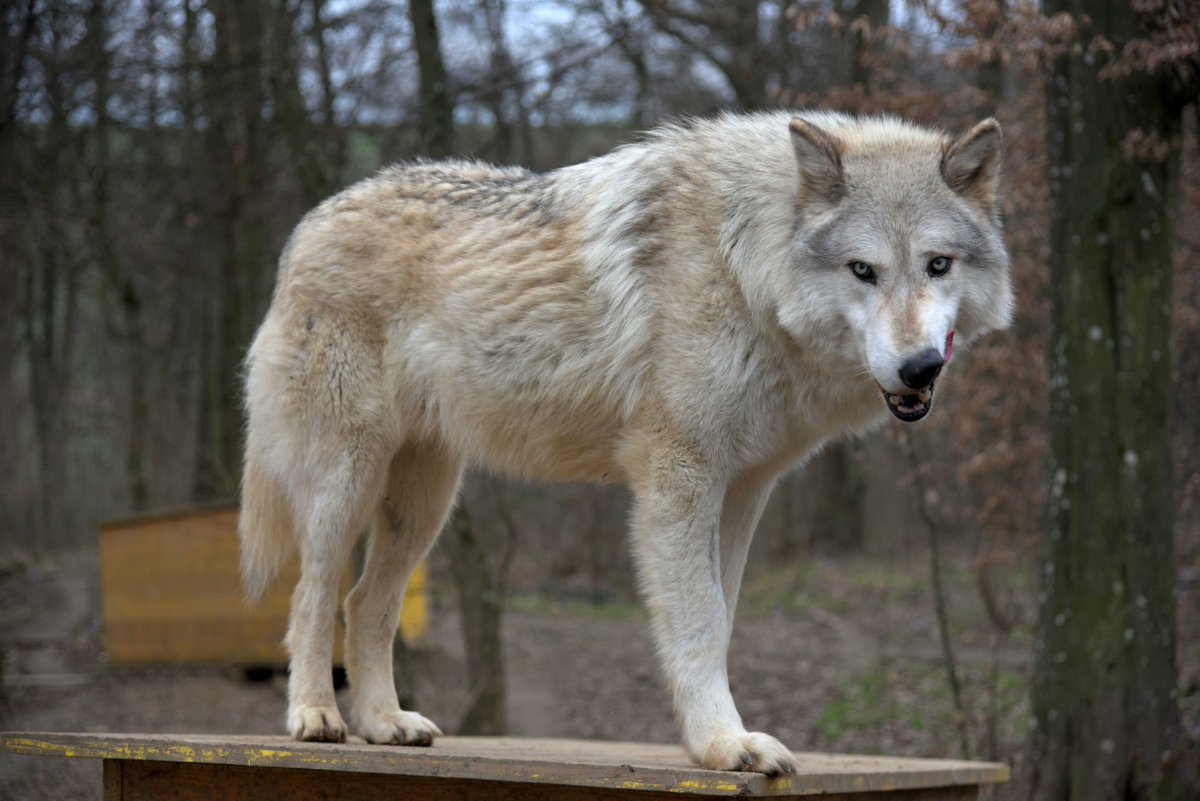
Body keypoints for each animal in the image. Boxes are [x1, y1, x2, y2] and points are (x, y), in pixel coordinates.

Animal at [239, 110, 1012, 775]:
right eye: (863, 270)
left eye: (938, 265)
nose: (919, 367)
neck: (747, 265)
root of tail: (307, 225)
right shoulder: (678, 478)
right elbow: (698, 622)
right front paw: (725, 745)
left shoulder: (743, 490)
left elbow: (721, 620)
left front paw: (714, 738)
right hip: (348, 481)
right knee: (313, 593)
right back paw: (314, 716)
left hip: (423, 505)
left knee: (365, 601)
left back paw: (384, 723)